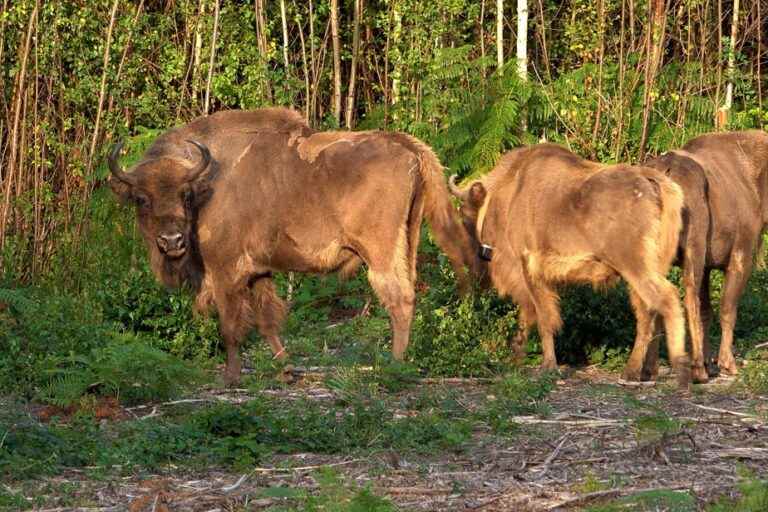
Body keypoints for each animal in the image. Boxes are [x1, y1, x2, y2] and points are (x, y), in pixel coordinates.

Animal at [110, 110, 476, 386]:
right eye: (141, 199)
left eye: (185, 194)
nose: (171, 241)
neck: (207, 183)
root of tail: (407, 145)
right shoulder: (258, 272)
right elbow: (267, 320)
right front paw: (285, 369)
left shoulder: (225, 269)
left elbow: (230, 325)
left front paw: (230, 378)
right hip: (408, 240)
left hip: (380, 253)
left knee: (399, 299)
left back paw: (393, 366)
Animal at [448, 144, 692, 388]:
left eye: (465, 213)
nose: (475, 258)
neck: (510, 191)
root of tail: (650, 179)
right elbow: (531, 315)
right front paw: (516, 358)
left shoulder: (529, 266)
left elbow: (543, 317)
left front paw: (547, 366)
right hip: (646, 270)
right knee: (648, 312)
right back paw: (640, 372)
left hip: (634, 267)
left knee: (666, 299)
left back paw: (676, 370)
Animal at [640, 130, 768, 382]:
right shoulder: (741, 255)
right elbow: (727, 309)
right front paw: (726, 363)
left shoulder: (710, 265)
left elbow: (708, 312)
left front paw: (712, 363)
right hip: (693, 246)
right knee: (688, 298)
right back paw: (697, 368)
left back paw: (649, 368)